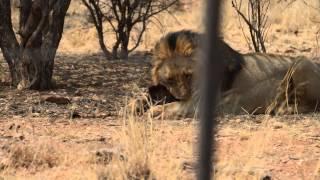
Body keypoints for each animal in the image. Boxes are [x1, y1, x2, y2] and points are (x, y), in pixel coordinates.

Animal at [132, 29, 320, 118]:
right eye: (170, 79)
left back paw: (280, 108)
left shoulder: (203, 101)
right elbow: (148, 96)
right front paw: (134, 106)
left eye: (188, 75)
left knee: (309, 105)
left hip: (302, 62)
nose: (183, 95)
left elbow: (174, 106)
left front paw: (154, 111)